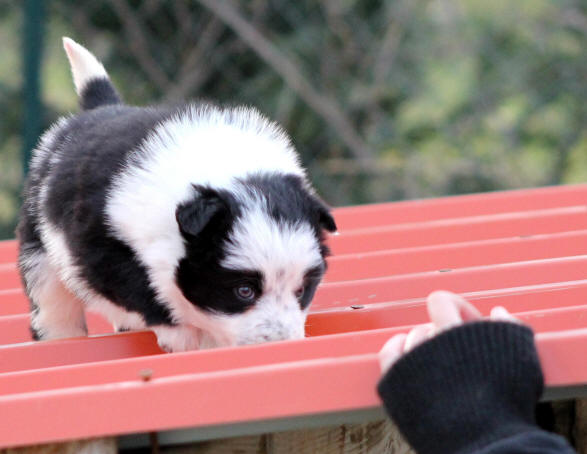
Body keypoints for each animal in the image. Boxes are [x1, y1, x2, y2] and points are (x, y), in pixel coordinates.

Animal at [17, 38, 336, 352]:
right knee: (52, 302)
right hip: (40, 247)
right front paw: (183, 335)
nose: (281, 343)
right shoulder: (101, 245)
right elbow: (141, 287)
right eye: (244, 291)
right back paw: (60, 336)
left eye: (301, 290)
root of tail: (102, 108)